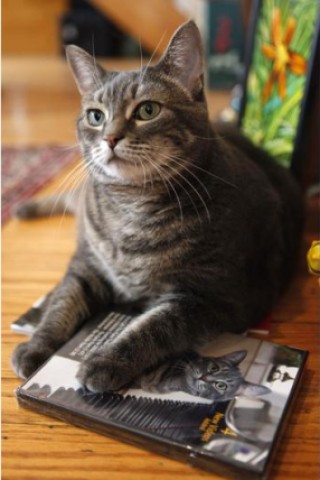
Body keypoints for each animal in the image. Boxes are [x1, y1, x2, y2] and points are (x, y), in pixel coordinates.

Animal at [11, 20, 304, 392]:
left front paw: (106, 361)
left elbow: (153, 327)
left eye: (147, 110)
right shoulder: (85, 266)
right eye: (95, 116)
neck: (131, 207)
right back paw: (23, 208)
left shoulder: (210, 297)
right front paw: (36, 346)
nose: (110, 137)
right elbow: (62, 305)